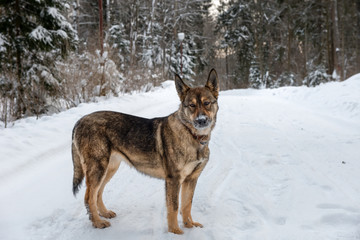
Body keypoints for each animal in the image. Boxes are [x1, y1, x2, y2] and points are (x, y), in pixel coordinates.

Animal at [71, 68, 219, 233]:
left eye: (207, 103)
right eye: (191, 105)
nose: (201, 120)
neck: (192, 135)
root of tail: (80, 121)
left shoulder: (191, 179)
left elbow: (187, 205)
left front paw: (190, 226)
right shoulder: (174, 179)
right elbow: (174, 208)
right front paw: (175, 231)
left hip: (109, 169)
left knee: (98, 193)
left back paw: (104, 213)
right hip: (98, 169)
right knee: (89, 197)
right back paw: (97, 222)